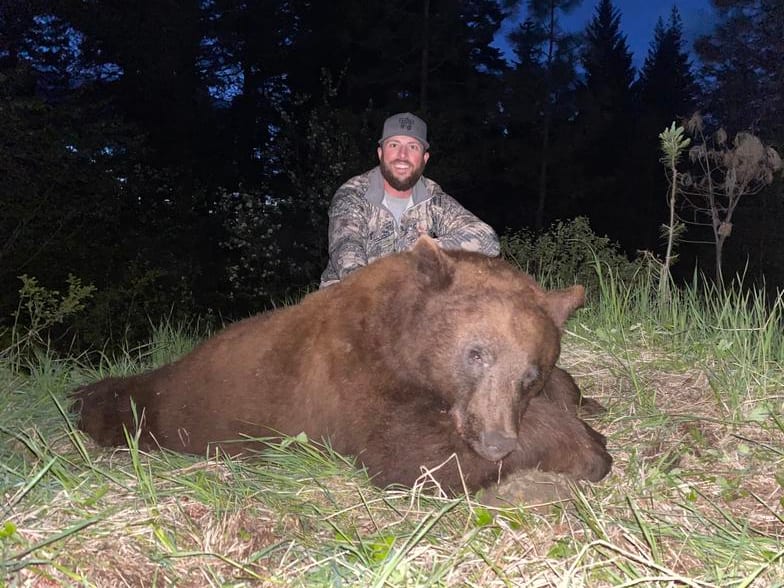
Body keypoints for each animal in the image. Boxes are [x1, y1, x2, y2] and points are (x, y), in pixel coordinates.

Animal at [72, 237, 611, 494]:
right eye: (476, 353)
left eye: (530, 375)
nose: (497, 442)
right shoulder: (352, 379)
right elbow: (414, 457)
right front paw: (588, 447)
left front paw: (583, 404)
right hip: (164, 406)